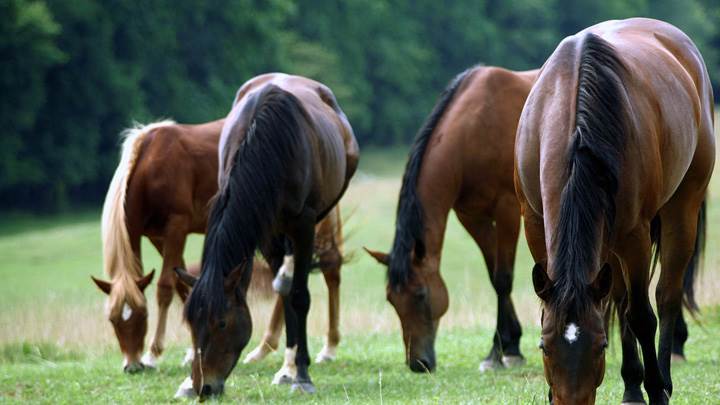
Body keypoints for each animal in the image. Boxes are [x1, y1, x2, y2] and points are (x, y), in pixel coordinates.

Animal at [93, 120, 346, 374]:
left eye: (143, 315)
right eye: (112, 319)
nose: (132, 365)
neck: (150, 164)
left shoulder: (176, 226)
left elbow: (165, 287)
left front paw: (153, 354)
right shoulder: (158, 237)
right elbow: (183, 284)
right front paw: (191, 350)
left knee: (329, 267)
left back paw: (327, 348)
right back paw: (265, 348)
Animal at [175, 73, 358, 398]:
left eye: (222, 324)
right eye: (191, 323)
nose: (204, 387)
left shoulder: (303, 224)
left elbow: (299, 296)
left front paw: (302, 375)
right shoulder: (264, 228)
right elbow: (285, 295)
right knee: (283, 287)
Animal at [365, 65, 539, 372]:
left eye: (421, 294)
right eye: (391, 299)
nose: (418, 363)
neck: (475, 130)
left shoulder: (507, 210)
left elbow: (503, 279)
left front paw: (499, 353)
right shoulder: (472, 217)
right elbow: (493, 276)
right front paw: (509, 345)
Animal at [515, 18, 714, 404]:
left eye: (600, 346)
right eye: (545, 347)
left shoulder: (635, 236)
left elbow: (641, 317)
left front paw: (656, 390)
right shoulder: (534, 224)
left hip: (680, 210)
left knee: (666, 296)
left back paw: (662, 380)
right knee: (620, 299)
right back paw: (632, 386)